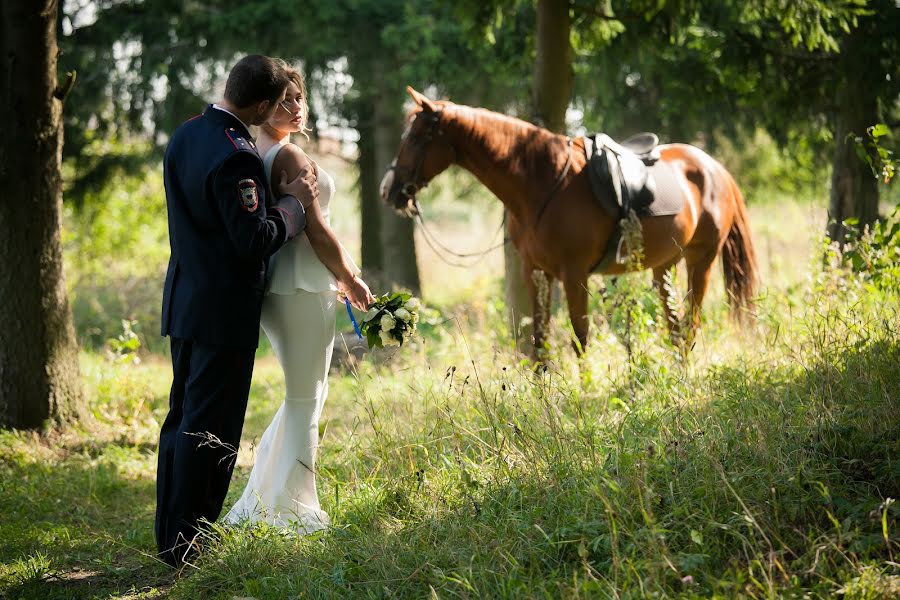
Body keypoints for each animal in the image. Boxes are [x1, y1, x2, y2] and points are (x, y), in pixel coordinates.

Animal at [382, 86, 760, 354]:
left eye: (416, 137)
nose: (389, 188)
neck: (541, 182)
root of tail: (715, 169)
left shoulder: (574, 274)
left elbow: (580, 337)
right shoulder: (536, 272)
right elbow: (540, 337)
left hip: (701, 260)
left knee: (691, 322)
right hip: (664, 264)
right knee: (675, 325)